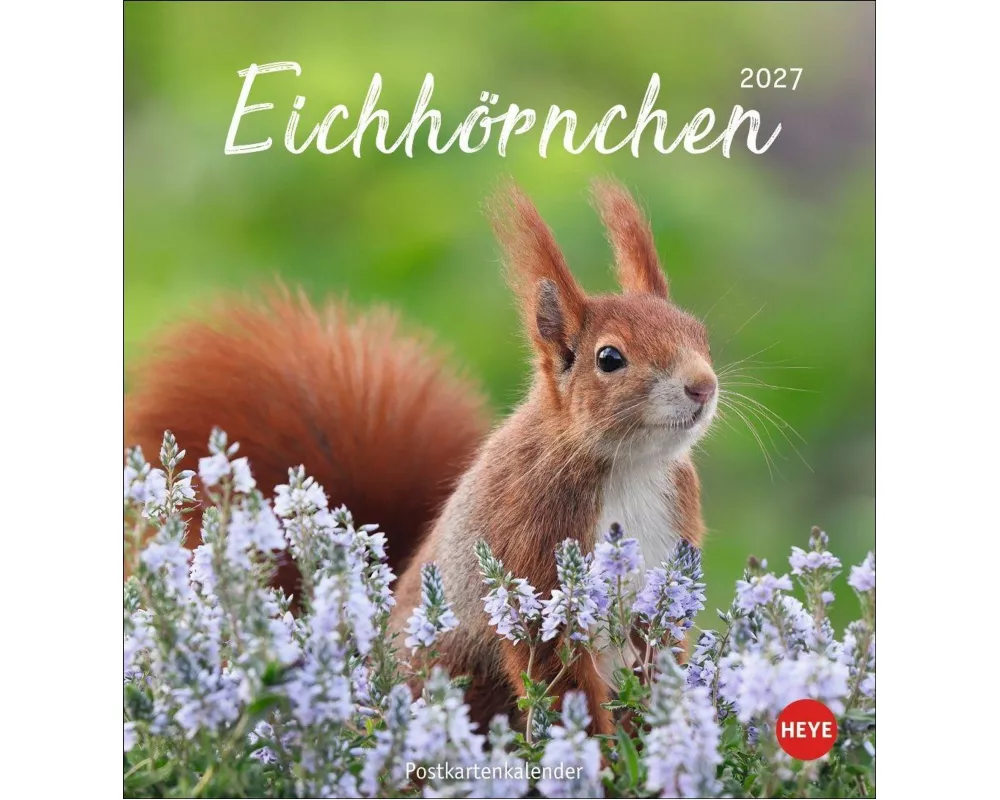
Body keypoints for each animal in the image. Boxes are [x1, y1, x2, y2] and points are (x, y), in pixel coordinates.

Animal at [124, 180, 718, 736]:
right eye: (610, 358)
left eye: (699, 333)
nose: (703, 385)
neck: (630, 466)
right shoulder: (531, 546)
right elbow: (557, 672)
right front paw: (601, 753)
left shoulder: (666, 562)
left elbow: (657, 651)